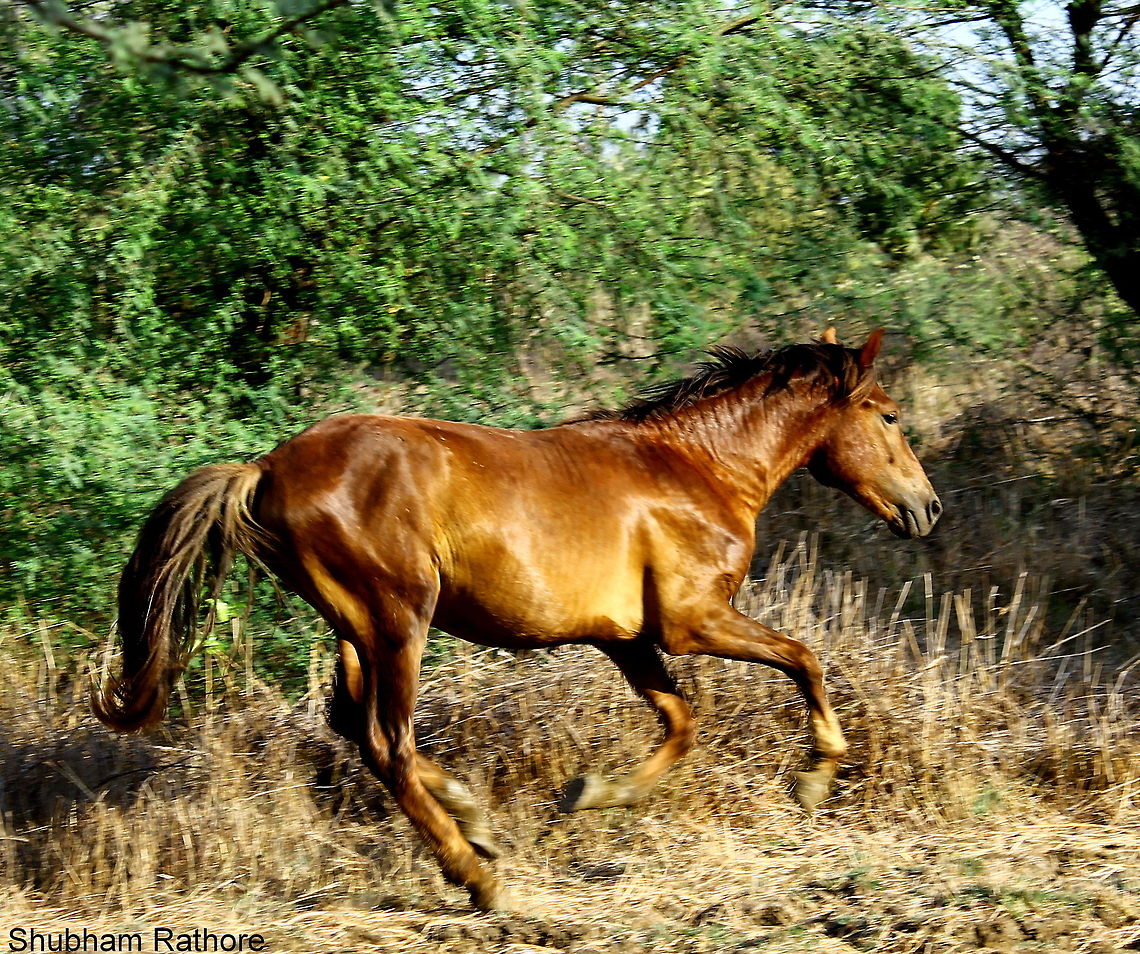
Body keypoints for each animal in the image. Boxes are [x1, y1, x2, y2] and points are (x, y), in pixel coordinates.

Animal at [94, 327, 941, 910]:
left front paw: (592, 794)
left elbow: (682, 721)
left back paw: (476, 821)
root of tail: (266, 468)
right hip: (399, 617)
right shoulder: (693, 620)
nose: (927, 509)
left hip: (355, 628)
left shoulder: (628, 641)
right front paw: (816, 777)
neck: (697, 469)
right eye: (890, 415)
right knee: (387, 742)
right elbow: (804, 658)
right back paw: (478, 878)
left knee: (354, 725)